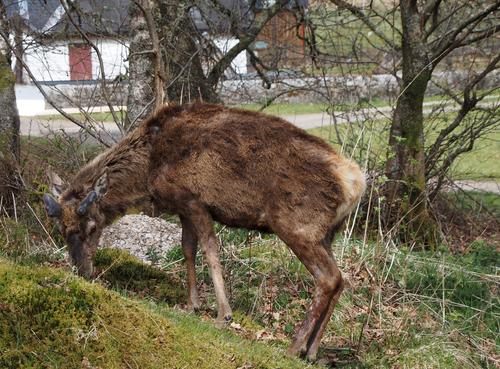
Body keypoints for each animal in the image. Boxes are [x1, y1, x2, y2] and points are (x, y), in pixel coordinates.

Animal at [44, 102, 364, 360]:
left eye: (92, 227)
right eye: (61, 230)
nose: (82, 270)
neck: (148, 170)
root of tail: (356, 183)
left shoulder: (193, 200)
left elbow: (210, 249)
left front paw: (223, 314)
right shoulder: (182, 208)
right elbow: (188, 248)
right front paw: (193, 304)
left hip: (298, 225)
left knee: (328, 277)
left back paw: (294, 347)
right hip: (327, 233)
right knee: (341, 279)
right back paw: (312, 350)